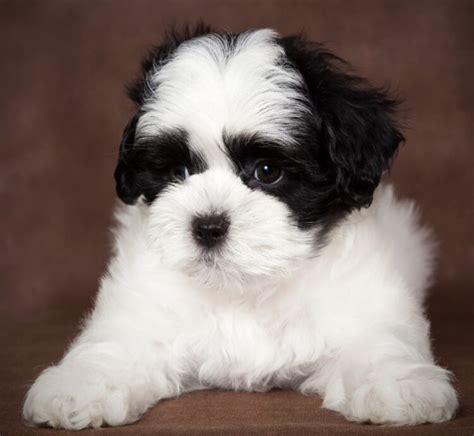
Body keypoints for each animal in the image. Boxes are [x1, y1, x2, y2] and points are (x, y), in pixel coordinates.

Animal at [23, 28, 460, 430]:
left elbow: (379, 340)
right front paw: (79, 386)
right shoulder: (142, 303)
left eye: (266, 171)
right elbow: (115, 342)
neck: (244, 289)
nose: (208, 225)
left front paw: (398, 384)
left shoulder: (362, 298)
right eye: (178, 171)